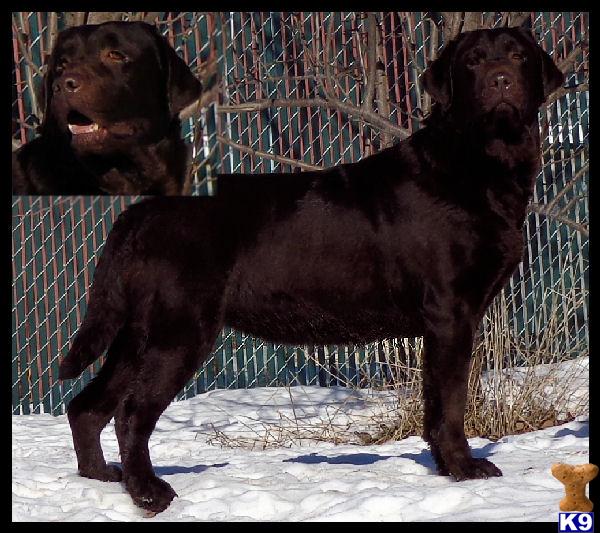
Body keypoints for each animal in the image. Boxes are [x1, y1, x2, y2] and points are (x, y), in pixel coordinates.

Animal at [56, 27, 564, 512]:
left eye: (517, 55)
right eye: (473, 62)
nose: (501, 79)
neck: (480, 163)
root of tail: (139, 212)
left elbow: (435, 405)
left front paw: (444, 468)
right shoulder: (451, 313)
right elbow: (451, 404)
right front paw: (463, 469)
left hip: (137, 330)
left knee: (86, 406)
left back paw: (100, 478)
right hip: (178, 330)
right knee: (130, 413)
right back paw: (148, 493)